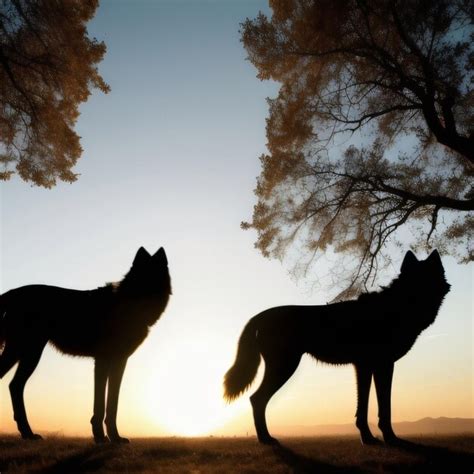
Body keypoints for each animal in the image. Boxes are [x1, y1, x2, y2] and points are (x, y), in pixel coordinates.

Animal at [0, 246, 170, 442]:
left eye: (154, 280)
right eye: (140, 280)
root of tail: (13, 292)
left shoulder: (119, 361)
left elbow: (112, 403)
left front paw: (114, 438)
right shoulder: (103, 361)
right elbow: (101, 404)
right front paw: (101, 437)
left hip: (26, 353)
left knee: (14, 386)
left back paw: (27, 433)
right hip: (27, 352)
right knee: (14, 385)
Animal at [224, 250, 450, 446]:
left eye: (430, 279)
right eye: (416, 281)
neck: (395, 307)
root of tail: (258, 316)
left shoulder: (366, 367)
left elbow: (366, 406)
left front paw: (368, 438)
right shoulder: (382, 366)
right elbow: (384, 407)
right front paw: (389, 439)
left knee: (256, 399)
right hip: (284, 367)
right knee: (257, 399)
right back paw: (266, 439)